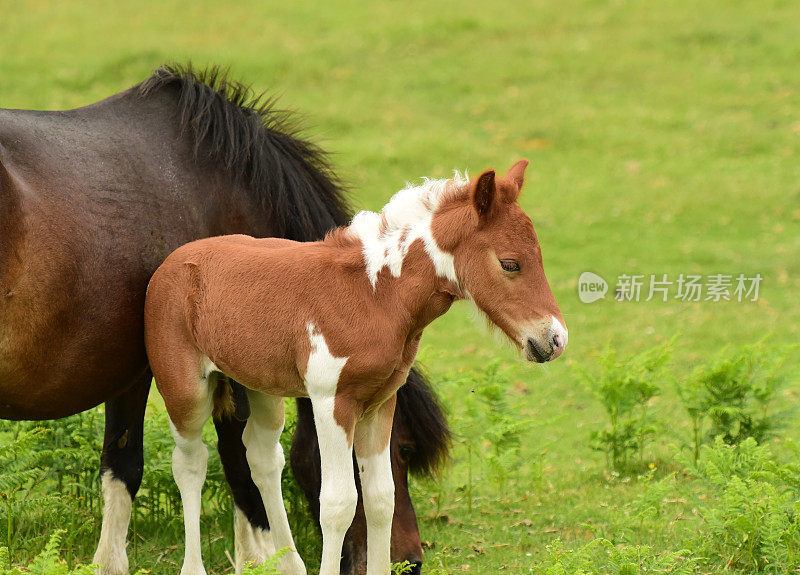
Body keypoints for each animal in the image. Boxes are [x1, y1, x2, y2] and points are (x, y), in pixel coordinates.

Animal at [145, 159, 568, 575]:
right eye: (510, 264)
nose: (556, 339)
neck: (374, 294)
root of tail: (172, 263)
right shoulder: (333, 401)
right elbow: (339, 504)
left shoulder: (380, 403)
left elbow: (381, 497)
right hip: (185, 390)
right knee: (190, 463)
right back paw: (193, 567)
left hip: (262, 387)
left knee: (262, 457)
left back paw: (291, 565)